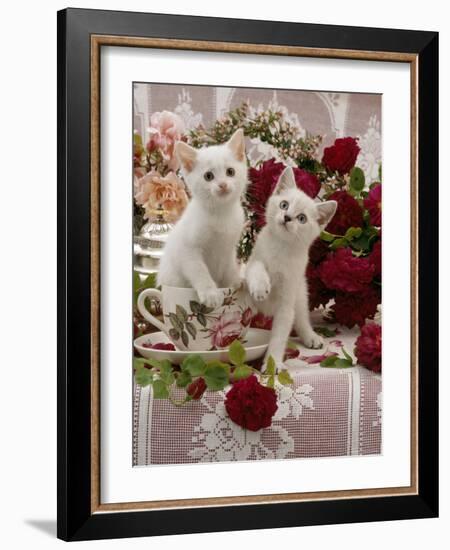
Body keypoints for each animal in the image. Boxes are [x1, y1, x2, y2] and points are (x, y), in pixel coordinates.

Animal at [157, 130, 250, 310]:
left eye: (230, 171)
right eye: (208, 176)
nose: (223, 185)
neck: (221, 214)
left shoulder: (229, 249)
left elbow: (229, 267)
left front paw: (235, 280)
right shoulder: (188, 250)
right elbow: (199, 271)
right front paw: (210, 293)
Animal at [244, 166, 336, 368]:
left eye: (301, 218)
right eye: (284, 205)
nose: (287, 217)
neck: (281, 247)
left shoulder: (287, 300)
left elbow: (279, 335)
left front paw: (273, 363)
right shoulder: (251, 262)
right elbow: (257, 267)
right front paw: (261, 287)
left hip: (300, 292)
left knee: (301, 317)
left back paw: (311, 337)